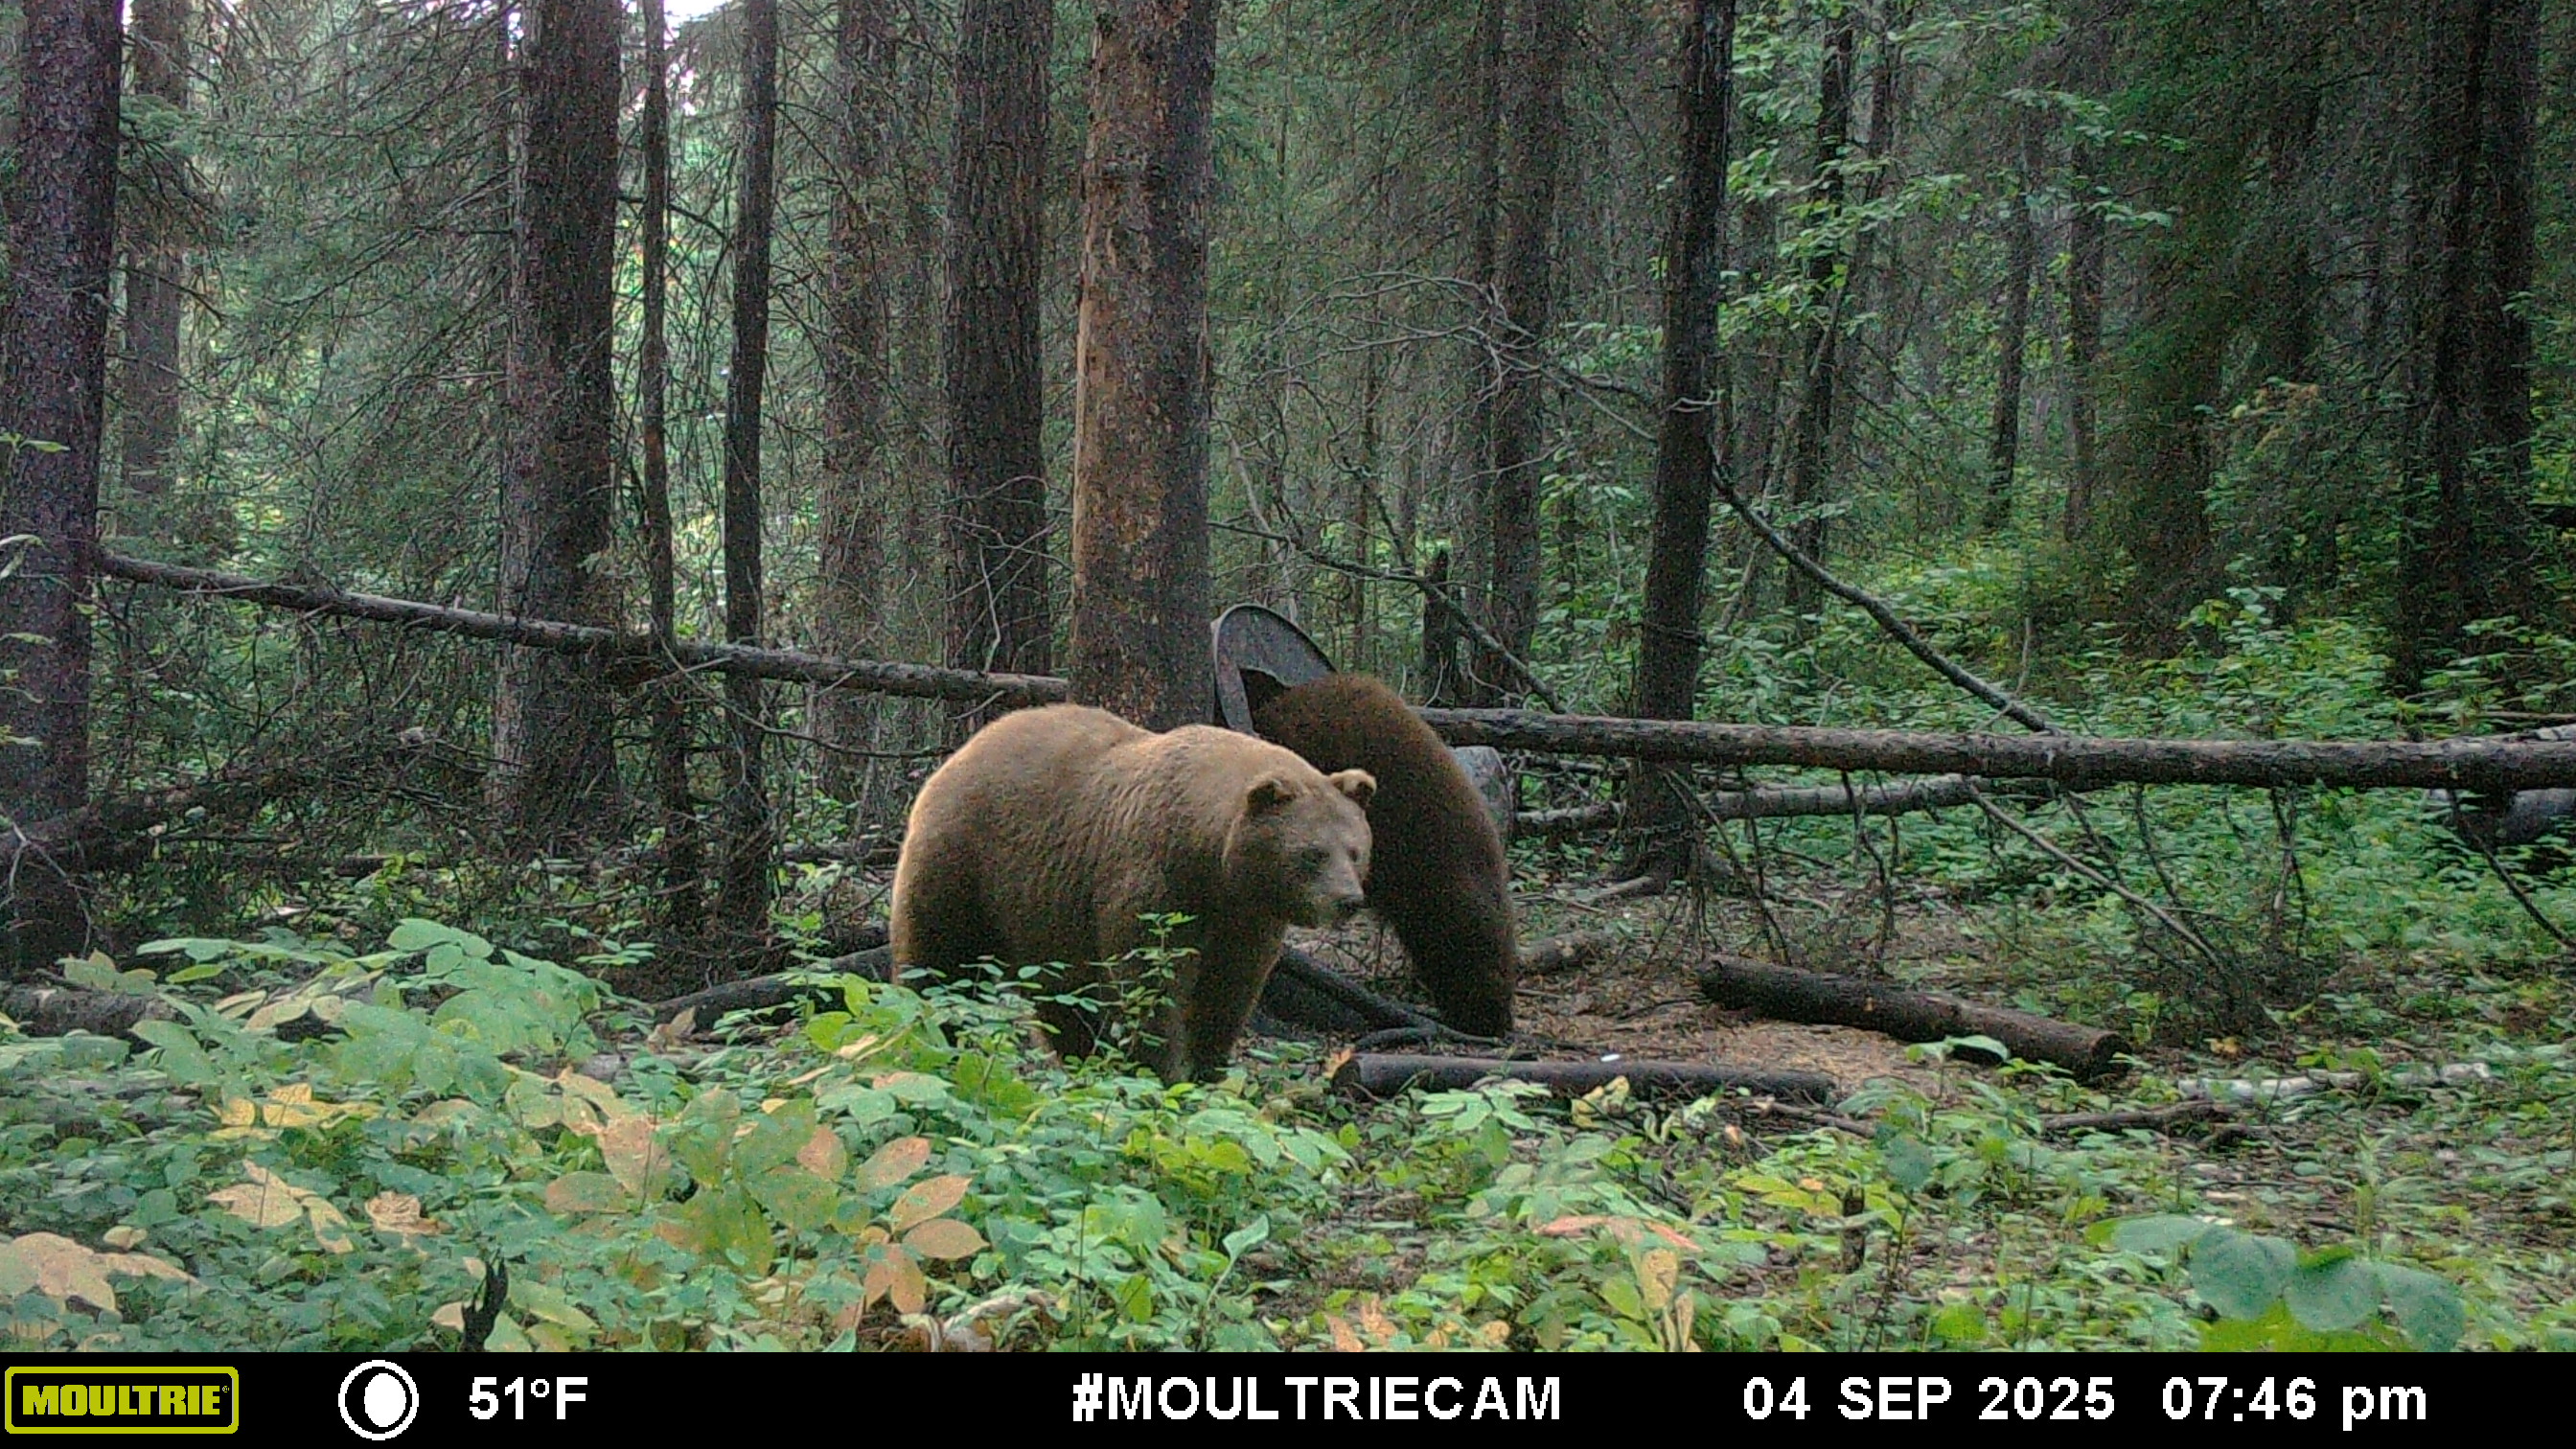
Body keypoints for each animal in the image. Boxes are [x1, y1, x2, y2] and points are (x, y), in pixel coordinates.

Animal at [888, 703, 1376, 1083]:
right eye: (1313, 853)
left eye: (1355, 850)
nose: (1347, 901)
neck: (1210, 861)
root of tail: (958, 755)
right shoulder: (1153, 881)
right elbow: (1150, 981)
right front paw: (1162, 1071)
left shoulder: (1245, 917)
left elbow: (1227, 991)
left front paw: (1207, 1067)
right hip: (967, 862)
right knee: (939, 959)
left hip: (1045, 915)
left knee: (1064, 1000)